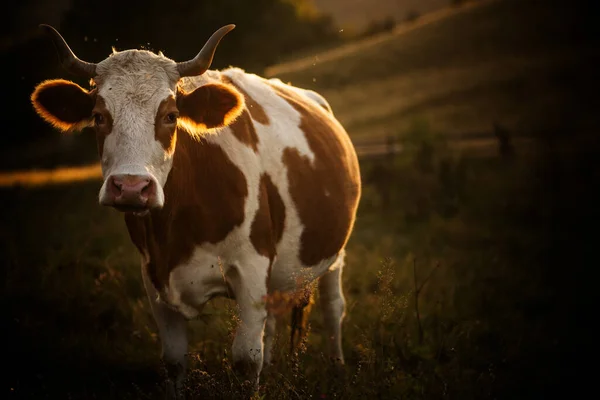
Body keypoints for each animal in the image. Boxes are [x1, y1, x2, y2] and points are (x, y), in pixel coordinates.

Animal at [31, 25, 360, 396]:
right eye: (99, 117)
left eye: (171, 116)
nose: (131, 187)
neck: (175, 235)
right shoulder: (153, 277)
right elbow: (175, 361)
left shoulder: (252, 267)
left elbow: (246, 360)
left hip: (335, 252)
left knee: (333, 309)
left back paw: (337, 370)